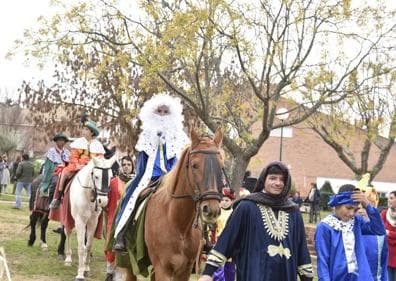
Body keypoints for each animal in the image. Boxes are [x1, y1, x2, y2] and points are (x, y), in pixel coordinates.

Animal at [125, 128, 224, 278]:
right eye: (195, 165)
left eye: (221, 166)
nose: (211, 210)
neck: (178, 223)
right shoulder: (163, 269)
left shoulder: (185, 270)